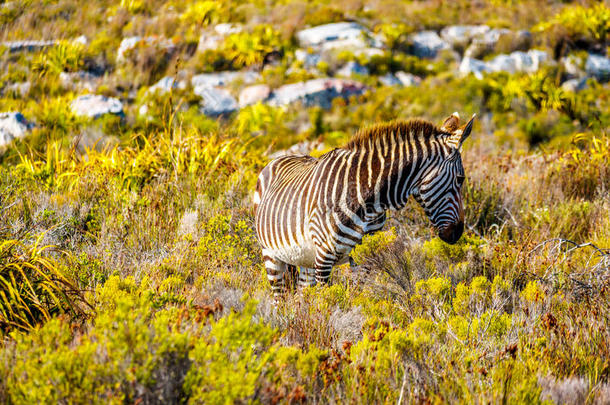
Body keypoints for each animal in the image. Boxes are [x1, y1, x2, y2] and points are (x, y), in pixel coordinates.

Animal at [252, 112, 476, 296]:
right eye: (460, 179)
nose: (457, 233)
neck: (368, 201)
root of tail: (276, 159)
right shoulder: (324, 255)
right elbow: (327, 302)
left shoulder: (366, 254)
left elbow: (362, 299)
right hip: (272, 255)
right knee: (280, 299)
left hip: (304, 258)